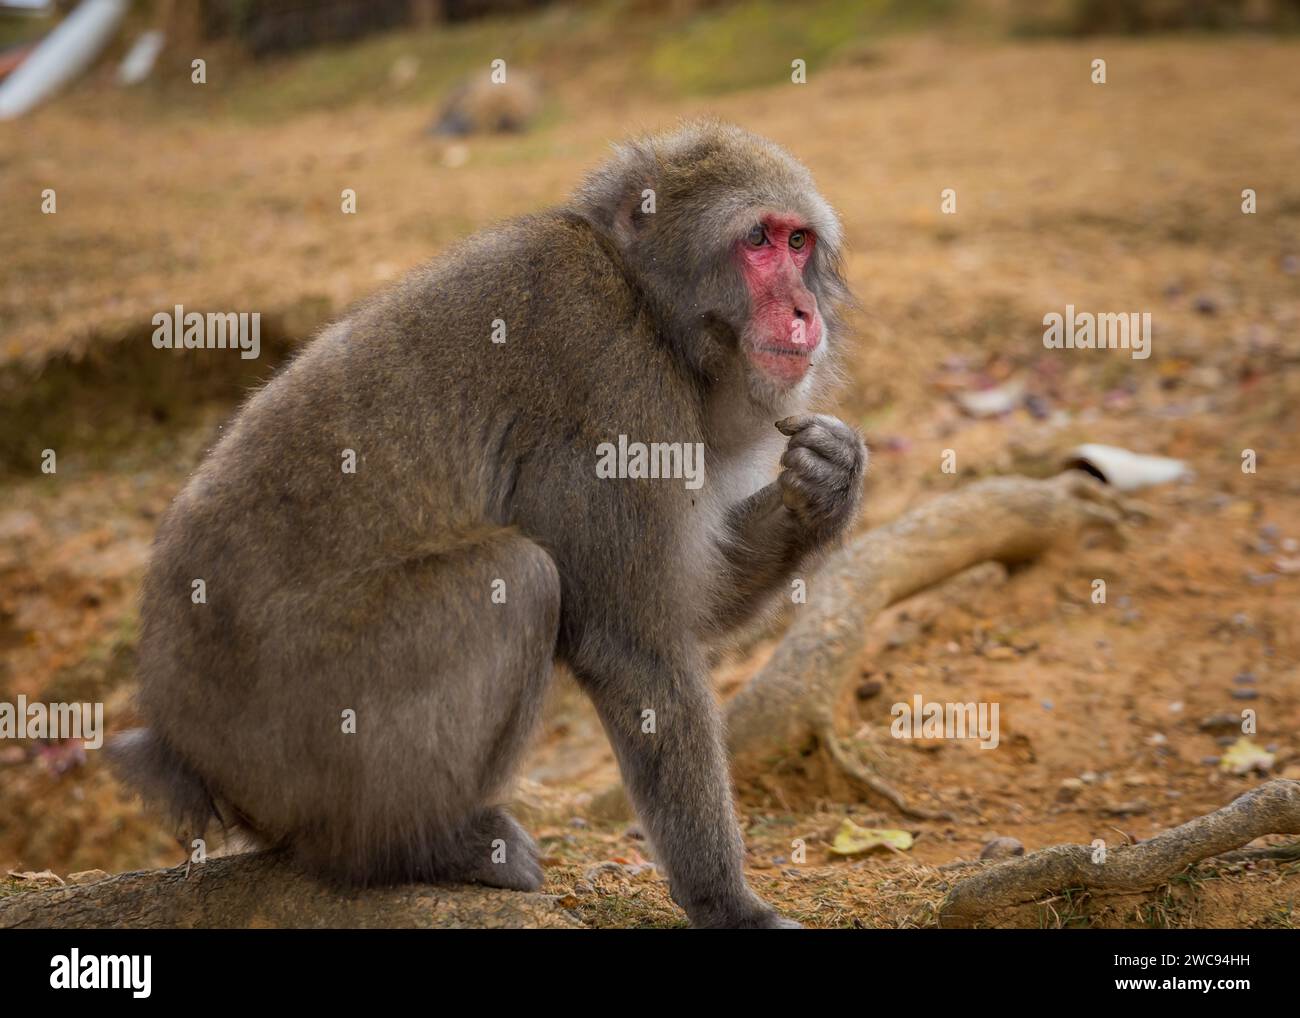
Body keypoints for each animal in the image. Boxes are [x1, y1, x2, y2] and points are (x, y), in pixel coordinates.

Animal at [111, 120, 866, 929]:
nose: (804, 313)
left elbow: (694, 603)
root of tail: (183, 744)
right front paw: (728, 904)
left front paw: (826, 481)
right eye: (757, 239)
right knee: (518, 578)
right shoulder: (613, 385)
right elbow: (634, 647)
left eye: (798, 243)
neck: (647, 305)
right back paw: (414, 852)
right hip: (297, 722)